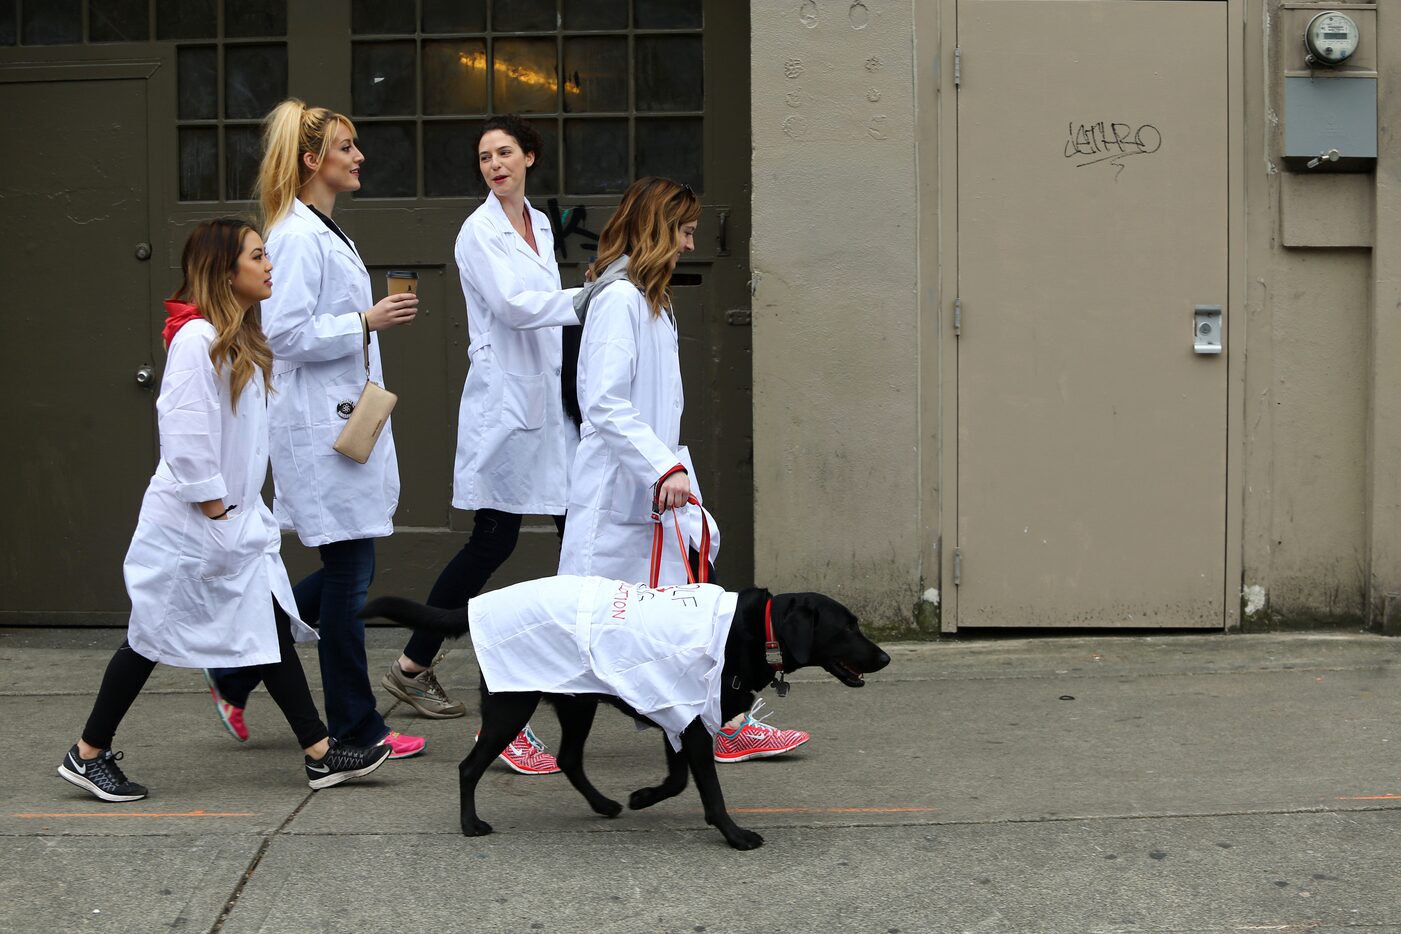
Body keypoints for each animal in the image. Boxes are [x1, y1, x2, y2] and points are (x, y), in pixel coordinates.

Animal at [358, 588, 885, 851]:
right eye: (847, 627)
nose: (883, 657)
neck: (756, 630)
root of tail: (474, 608)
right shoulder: (690, 722)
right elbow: (709, 791)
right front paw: (735, 836)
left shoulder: (677, 719)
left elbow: (677, 780)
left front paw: (642, 797)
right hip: (513, 706)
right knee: (469, 767)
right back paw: (471, 824)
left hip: (577, 704)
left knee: (570, 759)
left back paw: (605, 805)